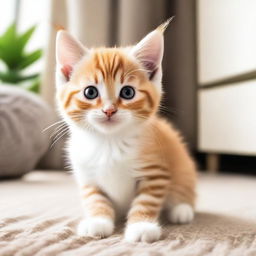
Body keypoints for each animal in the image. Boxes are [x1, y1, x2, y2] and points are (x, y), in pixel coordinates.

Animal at [55, 19, 197, 242]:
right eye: (90, 92)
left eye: (128, 92)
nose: (109, 110)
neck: (109, 142)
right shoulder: (87, 176)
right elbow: (95, 200)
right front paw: (97, 221)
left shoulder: (155, 172)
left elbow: (146, 200)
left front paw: (141, 226)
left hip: (183, 169)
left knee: (183, 189)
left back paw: (181, 210)